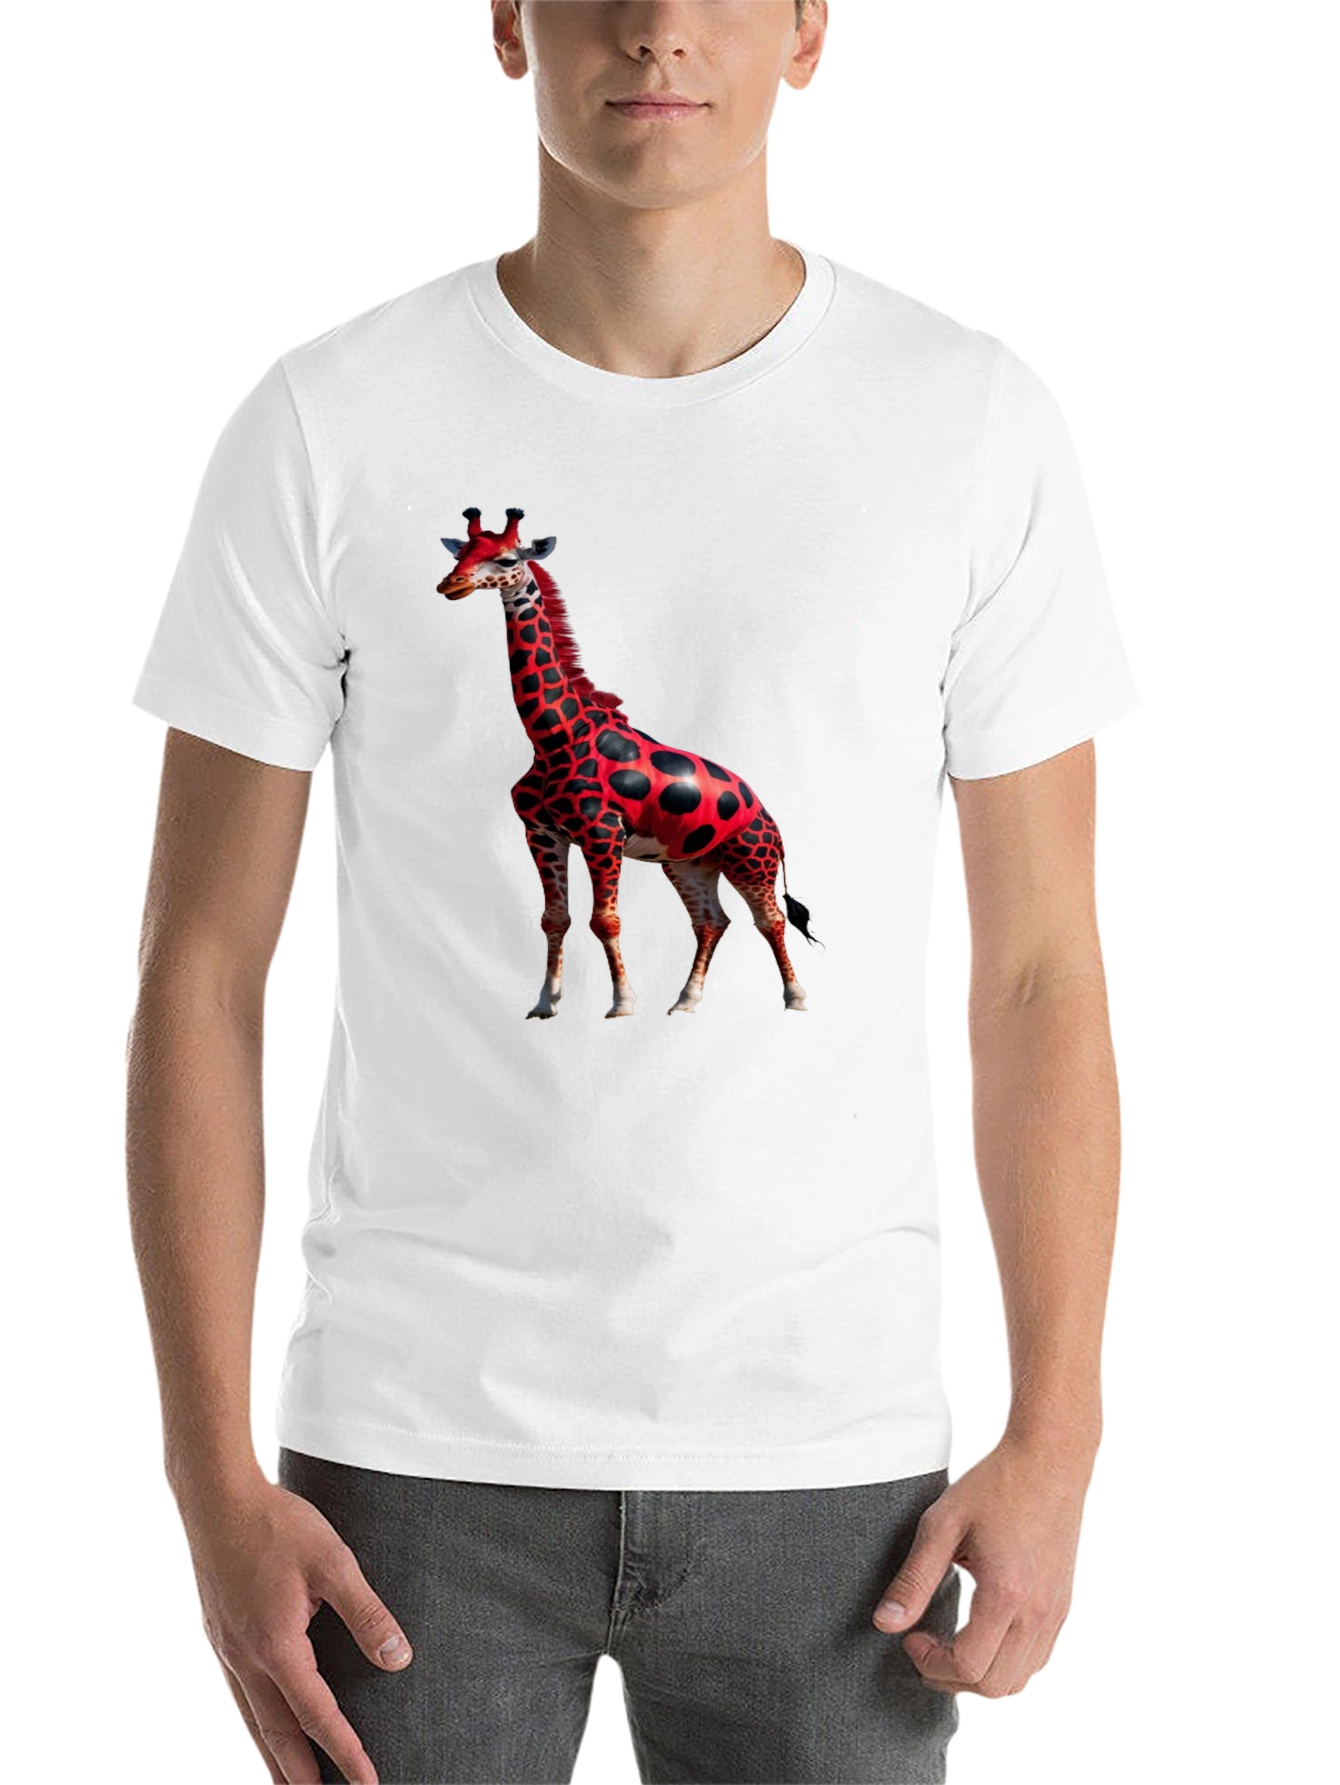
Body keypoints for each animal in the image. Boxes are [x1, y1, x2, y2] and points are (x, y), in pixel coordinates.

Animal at [436, 507, 822, 1020]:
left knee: (771, 919)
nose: (450, 585)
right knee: (712, 921)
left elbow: (606, 921)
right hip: (689, 863)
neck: (553, 737)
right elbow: (554, 919)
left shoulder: (602, 834)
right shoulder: (542, 833)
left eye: (505, 559)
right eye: (459, 554)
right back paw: (685, 1001)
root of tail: (770, 819)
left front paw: (622, 1002)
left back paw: (795, 998)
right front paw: (544, 1002)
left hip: (750, 860)